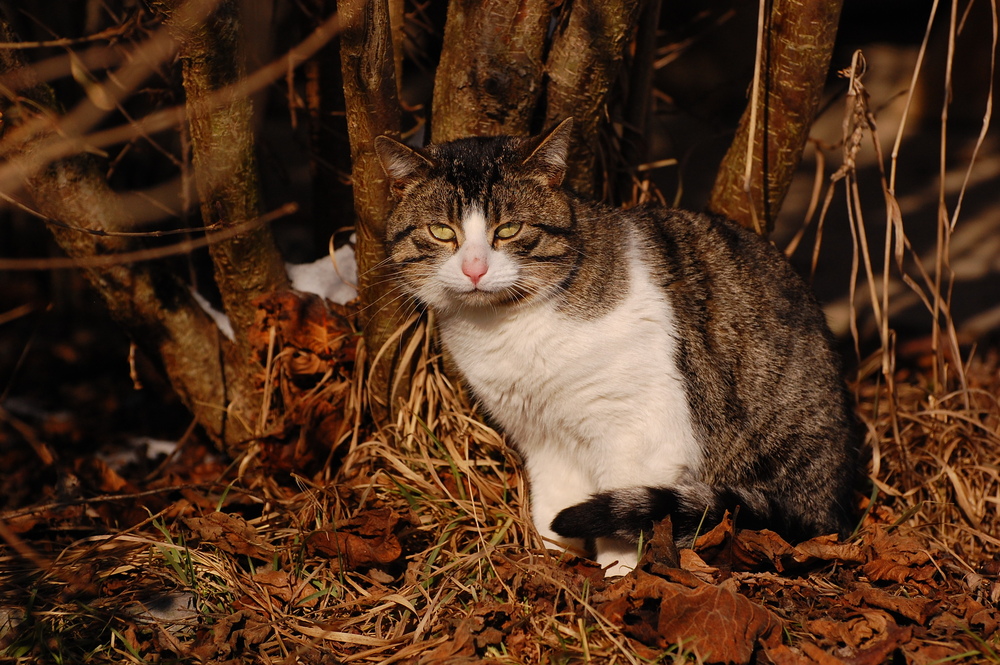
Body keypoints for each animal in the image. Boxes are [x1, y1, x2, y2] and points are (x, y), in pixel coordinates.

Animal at [376, 119, 860, 576]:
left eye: (509, 229)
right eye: (441, 231)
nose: (474, 269)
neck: (505, 330)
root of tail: (829, 509)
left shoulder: (640, 431)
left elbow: (622, 514)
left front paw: (618, 576)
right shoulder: (541, 435)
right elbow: (551, 502)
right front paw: (552, 560)